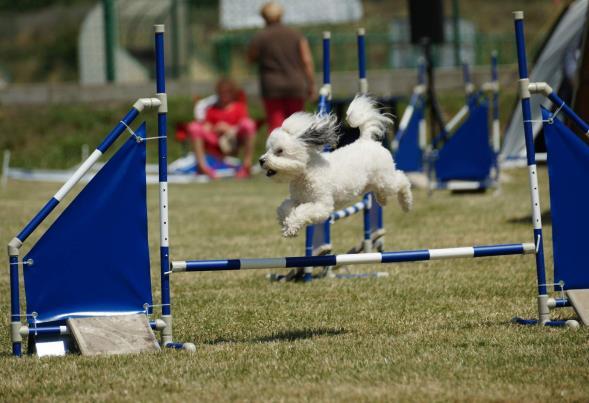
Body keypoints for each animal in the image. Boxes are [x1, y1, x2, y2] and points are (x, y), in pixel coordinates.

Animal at [260, 95, 412, 238]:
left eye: (280, 151)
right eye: (268, 149)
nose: (261, 160)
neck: (306, 173)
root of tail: (366, 140)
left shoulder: (322, 205)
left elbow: (303, 211)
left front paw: (291, 227)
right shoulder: (297, 199)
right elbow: (284, 207)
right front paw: (285, 221)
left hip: (385, 180)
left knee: (402, 180)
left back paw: (406, 204)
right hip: (372, 183)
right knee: (383, 189)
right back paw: (383, 200)